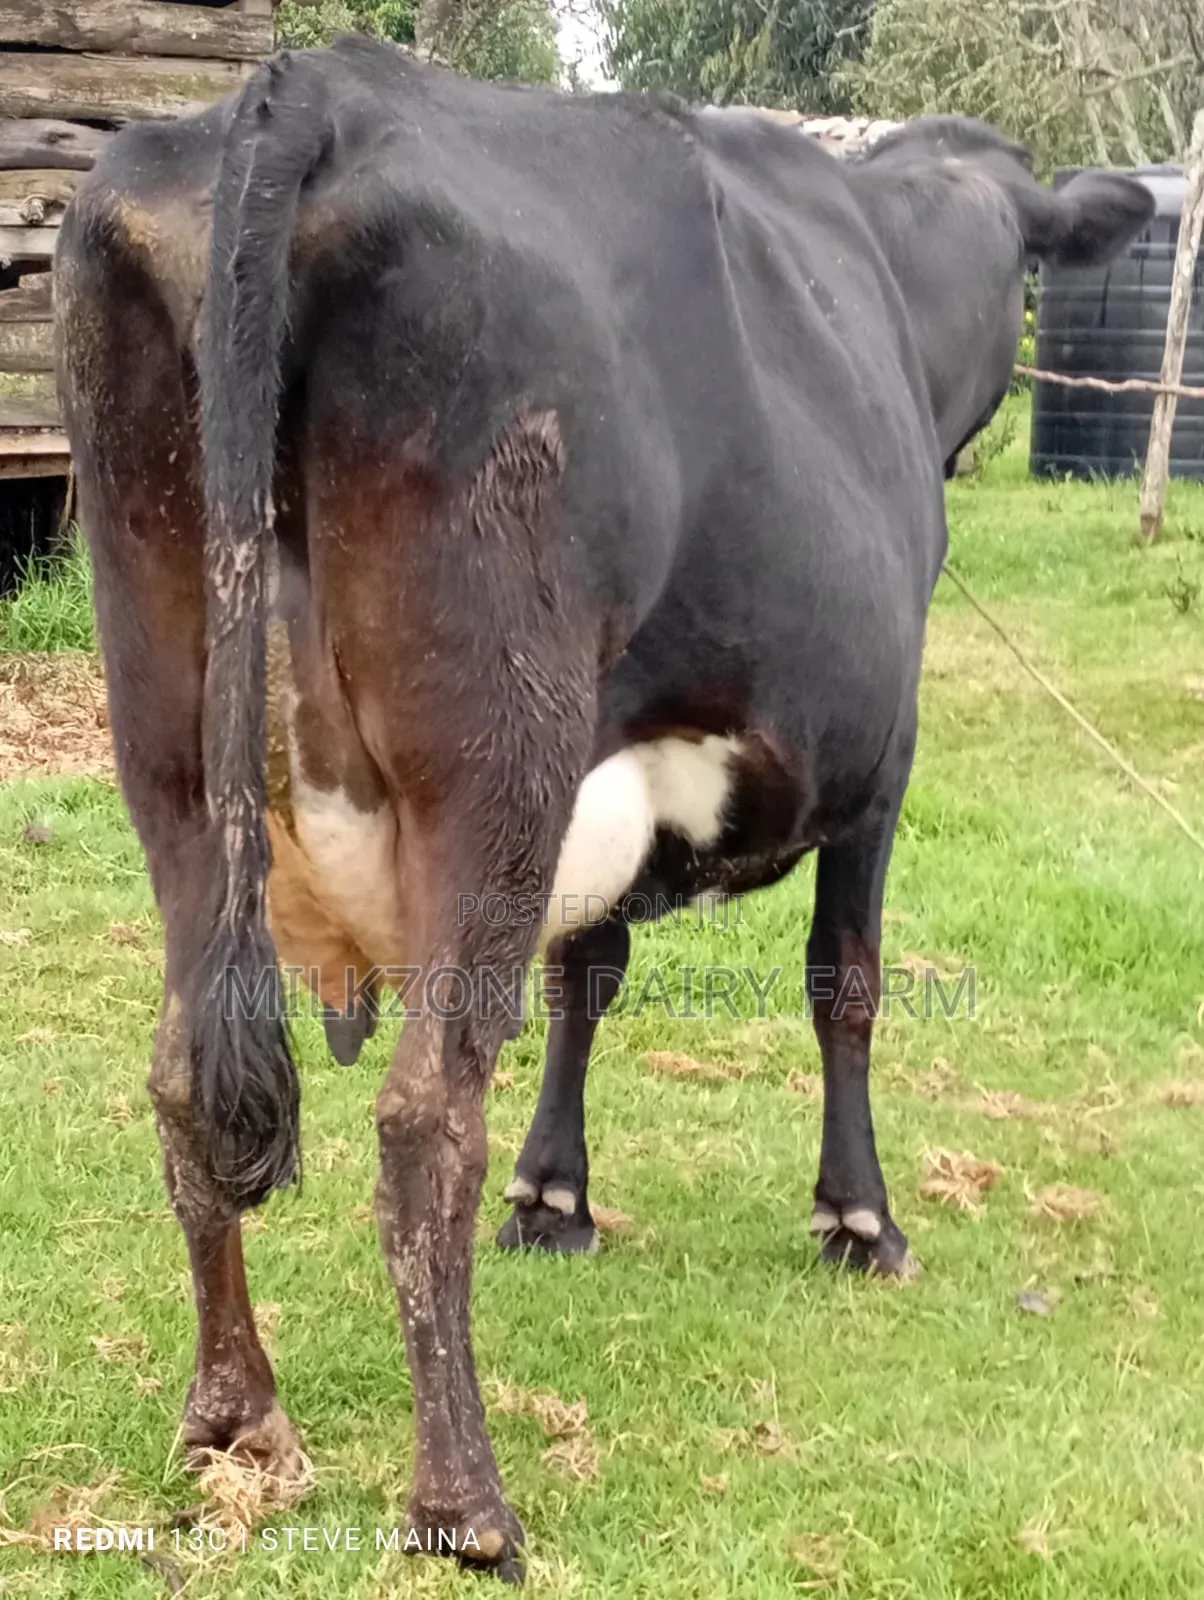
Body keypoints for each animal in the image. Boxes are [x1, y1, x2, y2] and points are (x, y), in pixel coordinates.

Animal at [55, 35, 1152, 1582]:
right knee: (420, 1117)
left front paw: (555, 1196)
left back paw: (237, 1420)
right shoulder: (881, 752)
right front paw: (859, 1217)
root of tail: (314, 87)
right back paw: (465, 1504)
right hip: (495, 747)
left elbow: (589, 972)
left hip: (167, 733)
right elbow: (846, 983)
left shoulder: (609, 762)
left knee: (177, 1076)